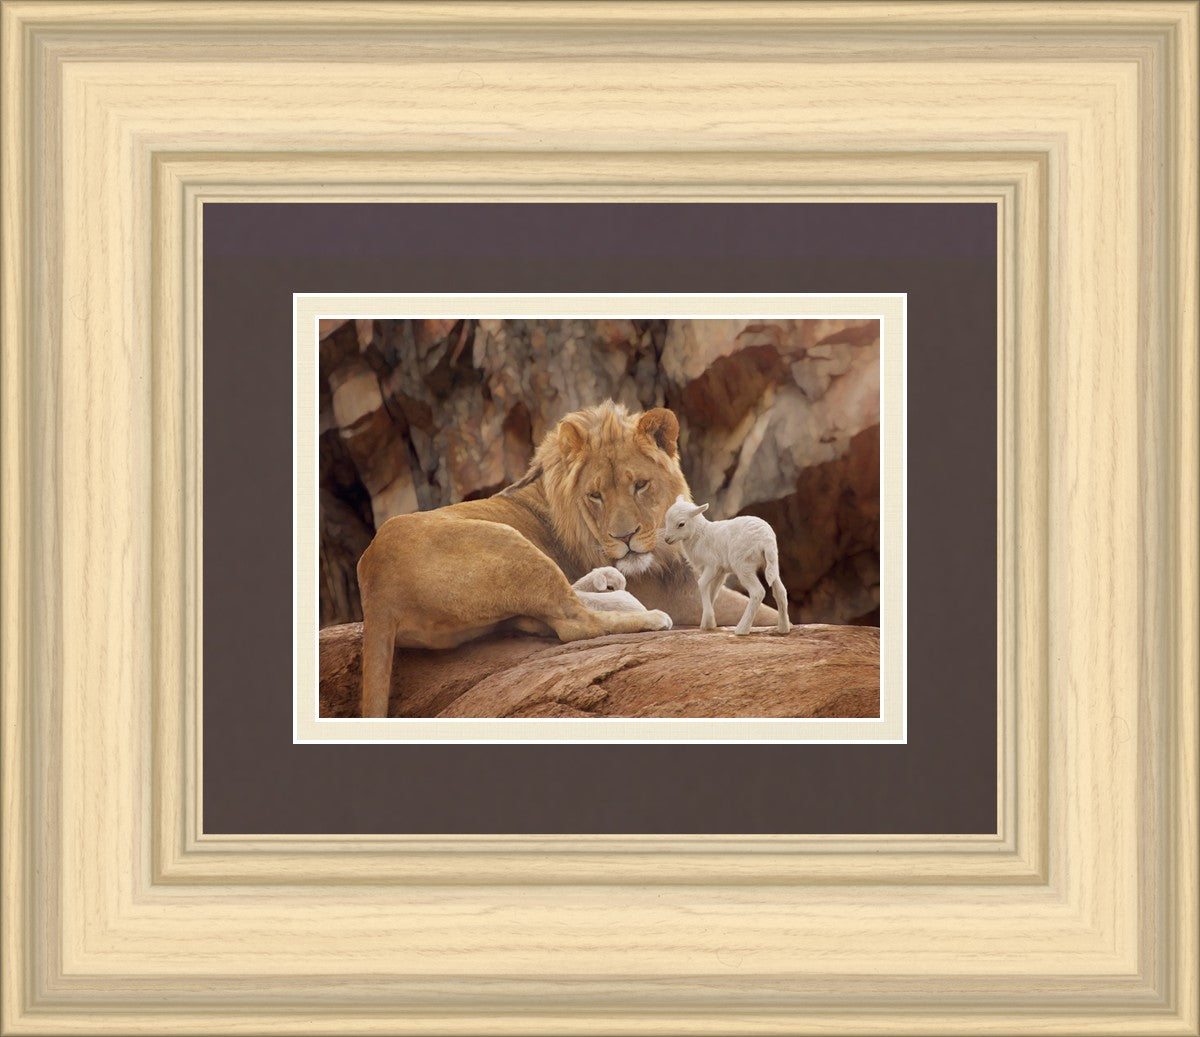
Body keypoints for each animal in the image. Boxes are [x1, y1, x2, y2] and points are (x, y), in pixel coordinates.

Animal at [662, 496, 791, 636]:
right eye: (666, 519)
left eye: (681, 524)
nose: (667, 539)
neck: (700, 535)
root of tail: (766, 539)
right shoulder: (720, 572)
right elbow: (713, 592)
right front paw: (707, 623)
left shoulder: (712, 565)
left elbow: (702, 584)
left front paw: (708, 621)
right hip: (771, 562)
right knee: (780, 591)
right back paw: (783, 628)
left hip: (743, 565)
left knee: (758, 592)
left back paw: (742, 629)